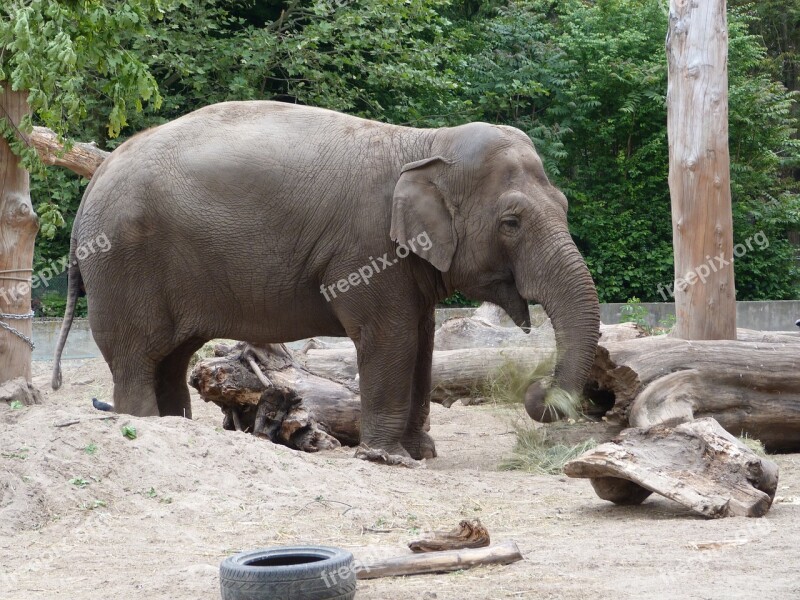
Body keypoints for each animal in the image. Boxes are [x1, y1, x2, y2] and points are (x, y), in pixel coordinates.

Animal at [51, 102, 600, 460]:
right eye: (511, 222)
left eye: (564, 205)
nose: (538, 392)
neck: (425, 140)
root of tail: (94, 182)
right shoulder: (366, 249)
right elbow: (391, 338)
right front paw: (386, 458)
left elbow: (422, 342)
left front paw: (421, 453)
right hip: (123, 266)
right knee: (137, 358)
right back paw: (148, 427)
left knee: (172, 357)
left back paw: (178, 428)